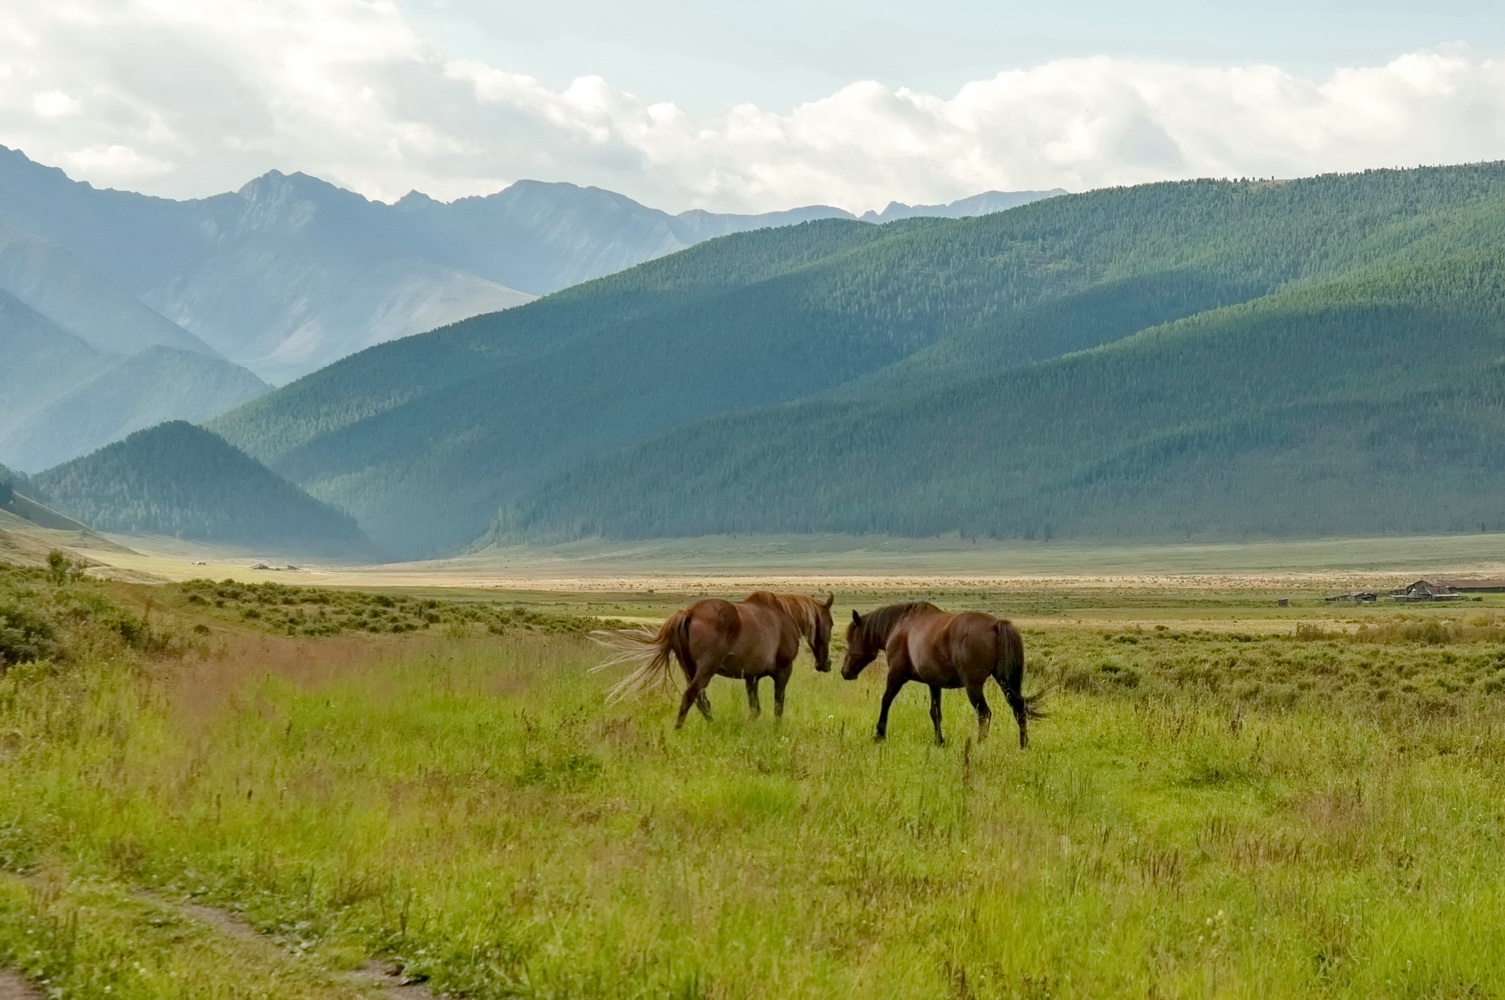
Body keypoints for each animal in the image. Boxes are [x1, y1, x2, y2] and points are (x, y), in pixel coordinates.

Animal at [595, 593, 836, 725]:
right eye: (831, 623)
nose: (825, 664)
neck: (785, 617)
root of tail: (689, 613)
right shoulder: (783, 672)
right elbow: (778, 707)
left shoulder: (751, 677)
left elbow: (755, 709)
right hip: (705, 669)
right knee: (691, 696)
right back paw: (679, 729)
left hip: (689, 668)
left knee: (701, 701)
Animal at [842, 605, 1041, 746]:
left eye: (852, 638)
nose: (844, 672)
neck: (899, 626)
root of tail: (996, 624)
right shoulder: (934, 683)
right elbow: (935, 712)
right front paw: (939, 741)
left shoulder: (896, 676)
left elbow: (886, 701)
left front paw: (879, 734)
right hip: (1006, 681)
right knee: (1019, 709)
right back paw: (1024, 745)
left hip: (974, 686)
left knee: (984, 713)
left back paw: (980, 744)